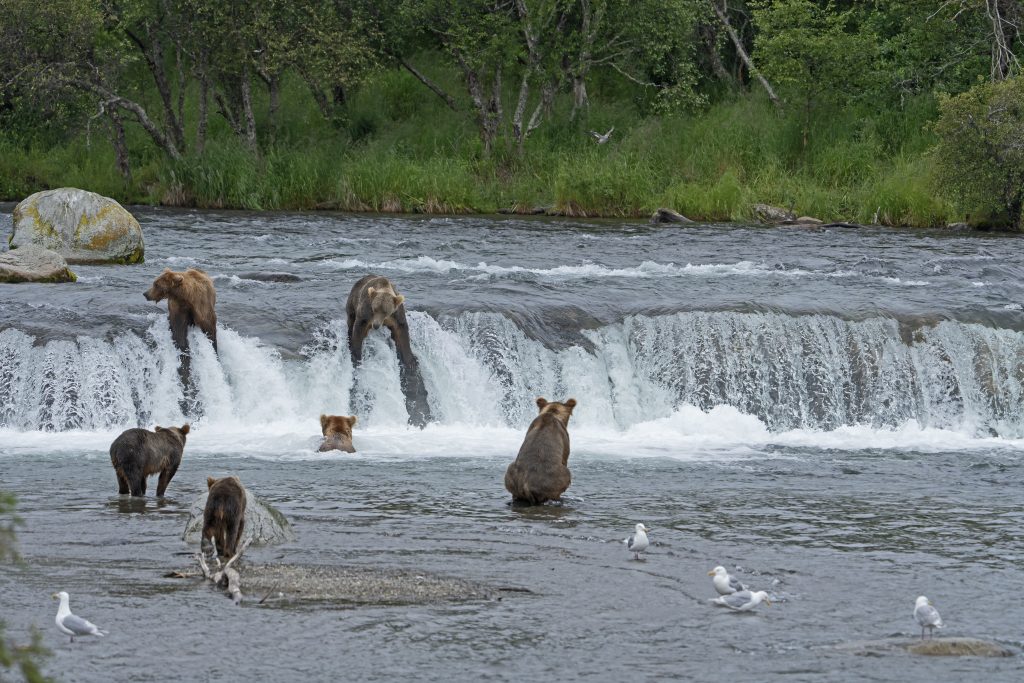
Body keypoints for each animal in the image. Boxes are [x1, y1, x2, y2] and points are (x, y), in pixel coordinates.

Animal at [345, 274, 431, 426]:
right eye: (375, 308)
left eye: (385, 311)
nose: (376, 325)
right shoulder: (365, 313)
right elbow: (358, 330)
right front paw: (356, 355)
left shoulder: (396, 316)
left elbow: (402, 333)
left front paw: (410, 361)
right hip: (352, 301)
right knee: (350, 320)